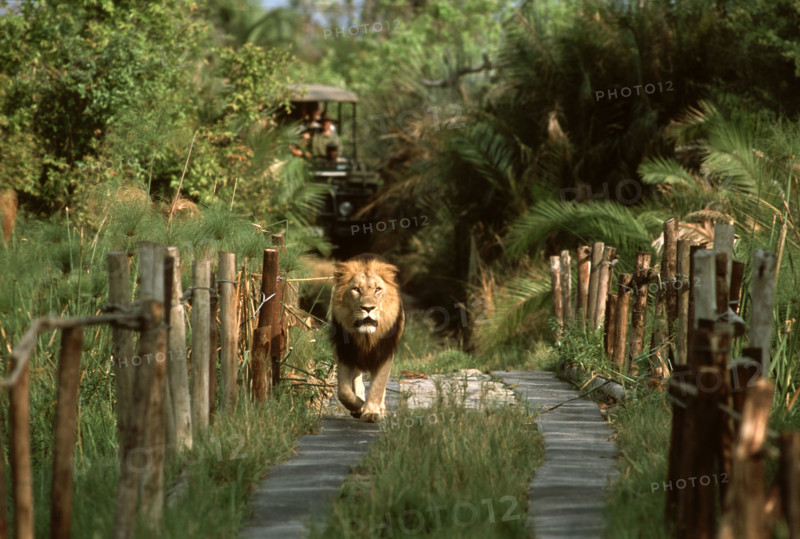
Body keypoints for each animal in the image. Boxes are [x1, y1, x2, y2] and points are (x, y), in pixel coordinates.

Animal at [330, 253, 404, 422]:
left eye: (378, 290)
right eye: (356, 289)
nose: (368, 308)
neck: (366, 337)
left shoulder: (384, 353)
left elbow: (378, 386)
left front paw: (371, 412)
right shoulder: (345, 352)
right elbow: (343, 391)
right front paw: (359, 405)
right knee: (357, 380)